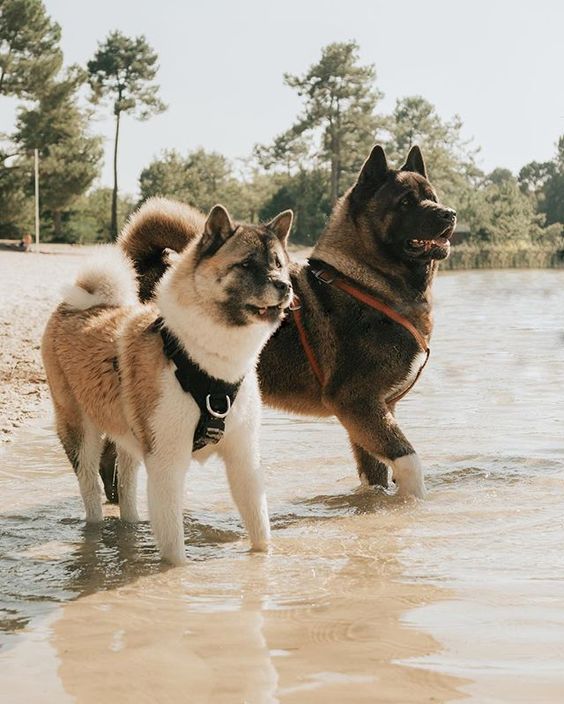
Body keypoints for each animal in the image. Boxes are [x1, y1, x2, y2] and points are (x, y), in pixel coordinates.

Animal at [41, 202, 294, 560]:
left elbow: (260, 528)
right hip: (80, 433)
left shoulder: (244, 460)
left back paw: (131, 529)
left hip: (128, 437)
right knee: (90, 489)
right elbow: (174, 548)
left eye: (278, 264)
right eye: (246, 264)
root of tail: (74, 305)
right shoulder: (167, 464)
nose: (285, 286)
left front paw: (265, 561)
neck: (205, 362)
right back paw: (95, 533)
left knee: (127, 483)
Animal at [104, 144, 454, 496]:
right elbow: (408, 461)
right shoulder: (357, 402)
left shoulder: (374, 411)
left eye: (432, 197)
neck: (365, 283)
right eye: (405, 202)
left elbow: (375, 475)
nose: (449, 213)